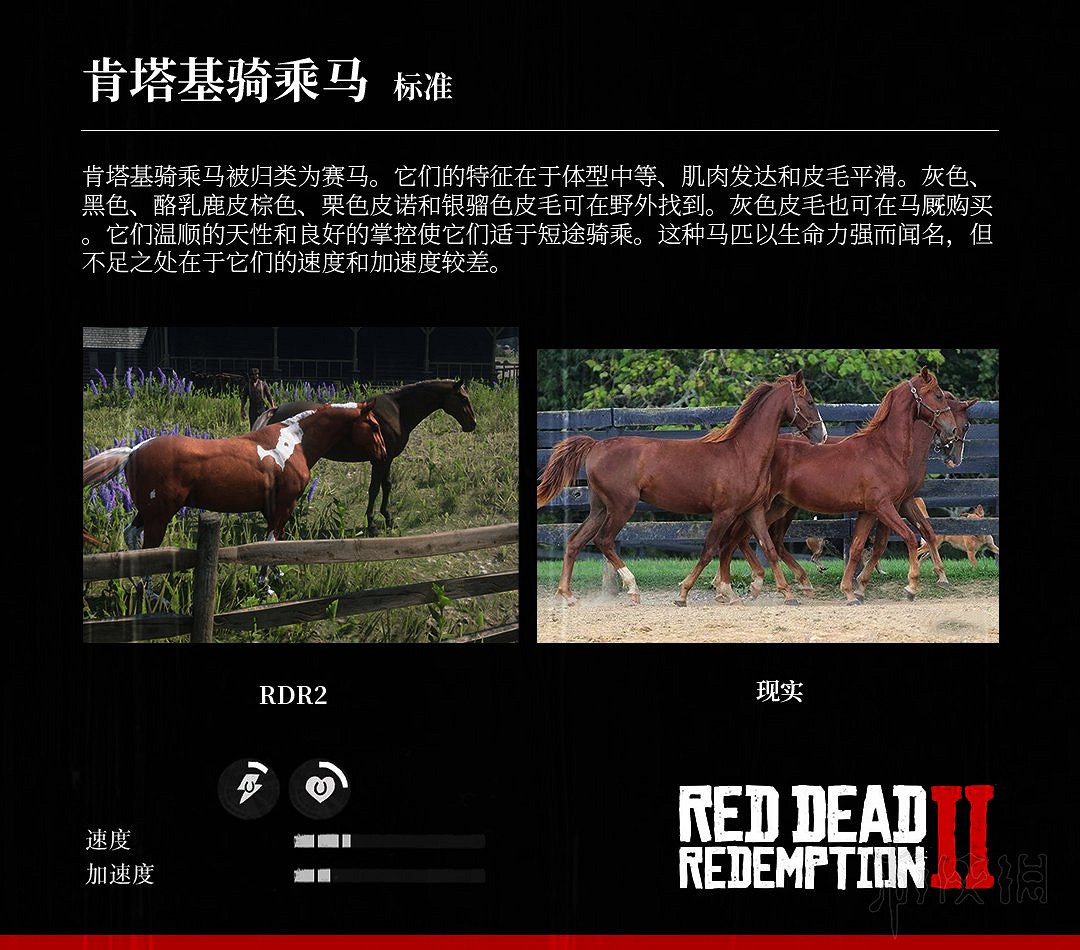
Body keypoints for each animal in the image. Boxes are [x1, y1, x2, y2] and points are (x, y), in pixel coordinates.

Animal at [83, 402, 386, 596]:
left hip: (147, 513)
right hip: (158, 516)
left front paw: (276, 576)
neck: (293, 442)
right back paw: (151, 595)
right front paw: (266, 586)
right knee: (149, 550)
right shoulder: (284, 507)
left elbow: (276, 543)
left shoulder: (273, 509)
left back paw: (137, 586)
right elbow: (272, 543)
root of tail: (134, 450)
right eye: (373, 425)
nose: (383, 453)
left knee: (131, 536)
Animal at [254, 379, 477, 536]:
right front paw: (373, 524)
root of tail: (276, 410)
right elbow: (374, 489)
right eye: (464, 399)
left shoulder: (386, 459)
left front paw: (388, 519)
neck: (397, 411)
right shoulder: (380, 461)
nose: (472, 424)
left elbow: (386, 486)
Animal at [536, 371, 827, 607]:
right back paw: (633, 589)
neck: (742, 453)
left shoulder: (752, 510)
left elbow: (767, 548)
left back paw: (568, 596)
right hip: (621, 507)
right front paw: (686, 593)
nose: (822, 436)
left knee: (575, 542)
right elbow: (710, 550)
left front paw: (786, 594)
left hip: (599, 507)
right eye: (810, 401)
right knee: (604, 541)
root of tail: (595, 445)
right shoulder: (724, 512)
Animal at [709, 368, 958, 605]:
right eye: (938, 395)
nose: (952, 431)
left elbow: (857, 548)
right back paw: (735, 587)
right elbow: (909, 537)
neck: (885, 450)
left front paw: (850, 592)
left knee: (750, 540)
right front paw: (910, 587)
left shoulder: (869, 511)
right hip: (763, 508)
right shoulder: (884, 507)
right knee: (738, 539)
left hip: (778, 508)